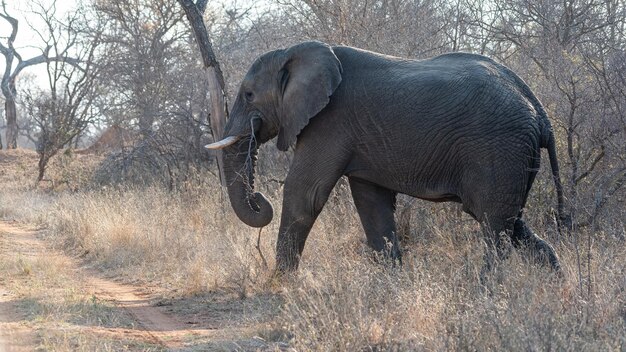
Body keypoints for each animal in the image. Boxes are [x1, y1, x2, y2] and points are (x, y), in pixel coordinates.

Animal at [206, 41, 564, 276]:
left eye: (248, 95)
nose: (258, 199)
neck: (293, 53)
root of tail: (540, 112)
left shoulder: (329, 122)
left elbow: (304, 193)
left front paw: (280, 282)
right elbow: (371, 203)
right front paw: (393, 283)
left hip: (498, 149)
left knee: (493, 225)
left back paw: (486, 292)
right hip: (514, 155)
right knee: (509, 221)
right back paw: (554, 285)